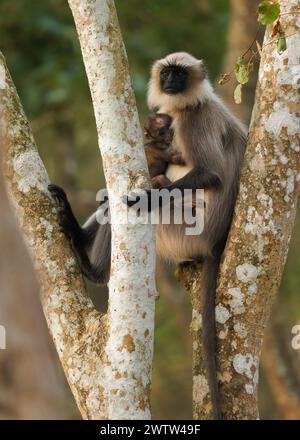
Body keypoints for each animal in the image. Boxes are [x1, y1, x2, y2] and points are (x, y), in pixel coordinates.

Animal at [48, 51, 246, 420]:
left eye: (180, 74)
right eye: (167, 73)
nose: (171, 82)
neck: (188, 105)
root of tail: (214, 243)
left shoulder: (193, 122)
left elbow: (209, 172)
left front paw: (143, 196)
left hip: (180, 230)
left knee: (126, 209)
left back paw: (93, 268)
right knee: (109, 201)